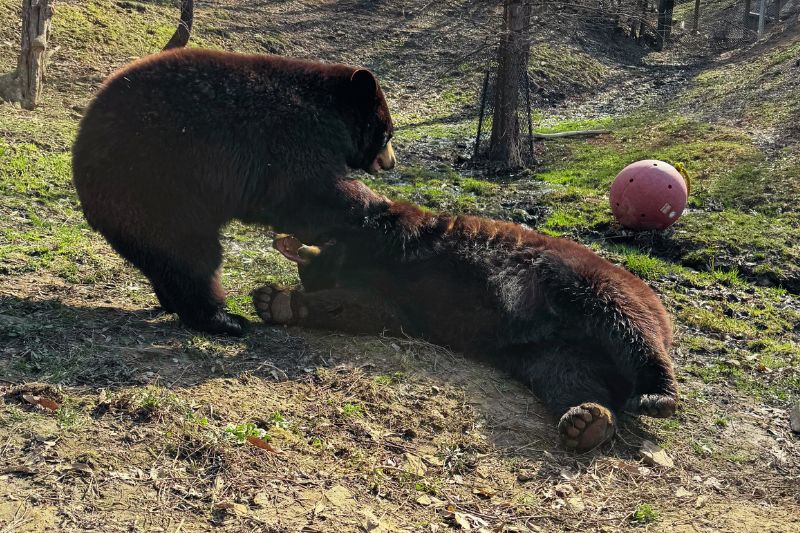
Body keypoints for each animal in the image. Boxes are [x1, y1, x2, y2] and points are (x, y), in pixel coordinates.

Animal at [72, 47, 396, 335]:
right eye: (387, 133)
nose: (390, 163)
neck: (330, 113)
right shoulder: (293, 137)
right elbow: (305, 192)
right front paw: (371, 204)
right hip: (157, 188)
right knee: (192, 254)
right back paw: (223, 320)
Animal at [252, 200, 678, 452]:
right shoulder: (397, 302)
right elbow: (366, 310)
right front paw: (279, 301)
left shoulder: (401, 240)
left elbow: (385, 224)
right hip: (547, 352)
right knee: (568, 377)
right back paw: (587, 419)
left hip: (583, 283)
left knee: (628, 327)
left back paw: (656, 395)